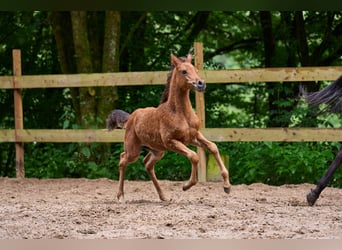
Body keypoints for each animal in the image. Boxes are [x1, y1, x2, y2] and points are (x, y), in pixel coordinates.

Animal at [107, 53, 230, 202]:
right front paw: (187, 185)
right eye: (184, 71)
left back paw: (163, 196)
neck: (180, 113)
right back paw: (120, 196)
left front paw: (227, 186)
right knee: (123, 160)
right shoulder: (171, 142)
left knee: (147, 164)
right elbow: (194, 156)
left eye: (196, 70)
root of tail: (131, 117)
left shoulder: (193, 136)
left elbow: (213, 147)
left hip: (157, 151)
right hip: (133, 150)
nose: (201, 84)